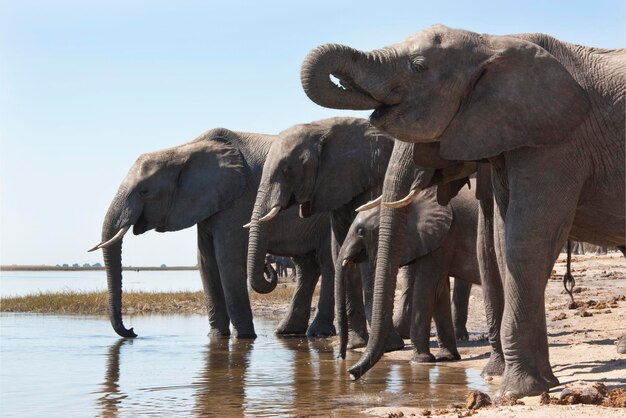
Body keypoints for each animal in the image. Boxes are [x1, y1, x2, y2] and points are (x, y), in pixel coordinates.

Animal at [88, 128, 334, 340]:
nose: (132, 331)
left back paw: (317, 333)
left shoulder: (238, 200)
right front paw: (216, 337)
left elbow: (227, 258)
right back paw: (287, 331)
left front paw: (244, 338)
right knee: (307, 266)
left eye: (144, 191)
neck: (184, 150)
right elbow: (205, 261)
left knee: (327, 261)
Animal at [336, 184, 478, 362]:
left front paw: (420, 361)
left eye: (361, 231)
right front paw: (447, 357)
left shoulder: (443, 239)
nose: (341, 356)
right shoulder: (436, 240)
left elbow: (428, 286)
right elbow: (440, 290)